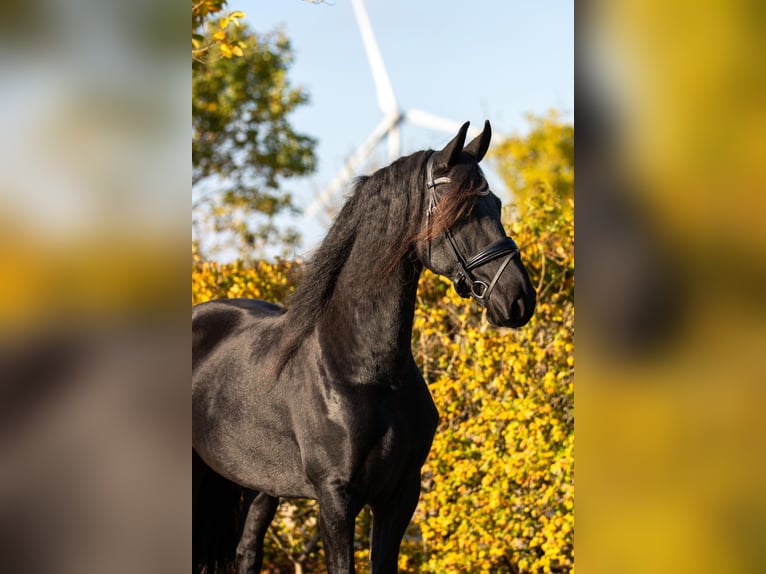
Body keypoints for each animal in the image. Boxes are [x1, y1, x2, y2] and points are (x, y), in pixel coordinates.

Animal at [195, 122, 536, 574]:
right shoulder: (335, 498)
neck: (364, 371)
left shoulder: (400, 495)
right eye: (461, 211)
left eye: (495, 203)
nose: (519, 300)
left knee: (247, 553)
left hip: (258, 487)